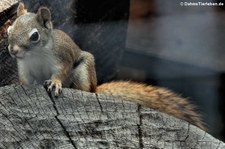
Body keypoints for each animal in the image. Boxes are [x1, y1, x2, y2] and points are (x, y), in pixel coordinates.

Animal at [6, 2, 206, 130]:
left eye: (34, 36)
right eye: (8, 30)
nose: (13, 51)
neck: (35, 55)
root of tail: (96, 88)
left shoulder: (63, 57)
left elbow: (60, 72)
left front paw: (54, 83)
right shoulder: (24, 68)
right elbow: (26, 81)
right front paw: (20, 86)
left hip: (84, 71)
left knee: (85, 89)